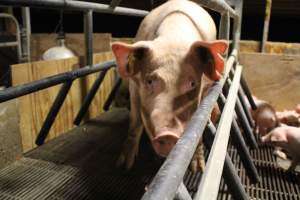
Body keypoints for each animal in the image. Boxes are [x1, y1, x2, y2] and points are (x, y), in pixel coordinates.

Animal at [110, 0, 227, 172]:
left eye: (192, 83)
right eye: (150, 81)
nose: (168, 135)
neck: (174, 36)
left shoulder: (206, 88)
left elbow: (198, 125)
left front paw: (198, 169)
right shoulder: (133, 84)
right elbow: (135, 121)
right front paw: (123, 166)